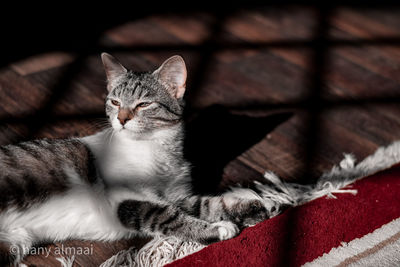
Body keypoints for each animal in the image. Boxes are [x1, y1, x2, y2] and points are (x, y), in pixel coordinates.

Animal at [0, 54, 268, 266]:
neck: (152, 149)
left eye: (144, 104)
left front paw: (252, 206)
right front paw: (218, 229)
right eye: (114, 102)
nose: (121, 118)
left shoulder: (175, 194)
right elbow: (170, 216)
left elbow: (204, 204)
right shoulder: (125, 200)